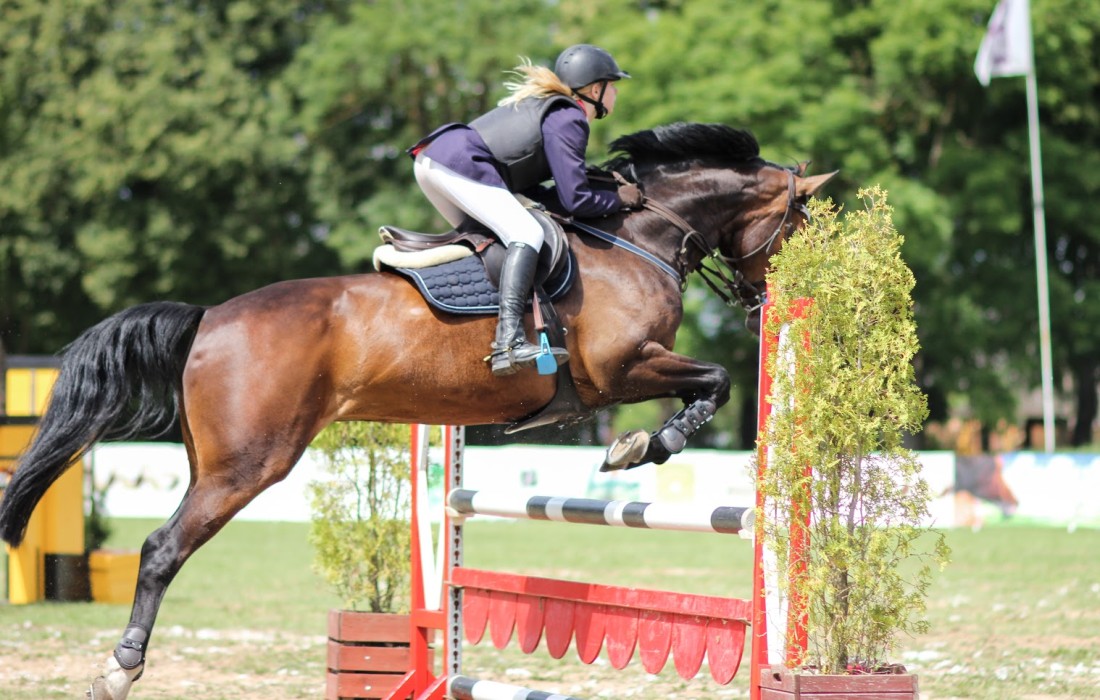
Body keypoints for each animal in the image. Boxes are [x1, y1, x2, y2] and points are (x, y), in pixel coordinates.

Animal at [0, 121, 827, 700]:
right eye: (797, 225)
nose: (768, 299)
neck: (635, 238)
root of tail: (208, 318)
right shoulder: (619, 370)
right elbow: (715, 381)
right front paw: (643, 447)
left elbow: (709, 383)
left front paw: (640, 445)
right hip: (247, 465)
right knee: (161, 549)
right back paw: (120, 669)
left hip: (215, 459)